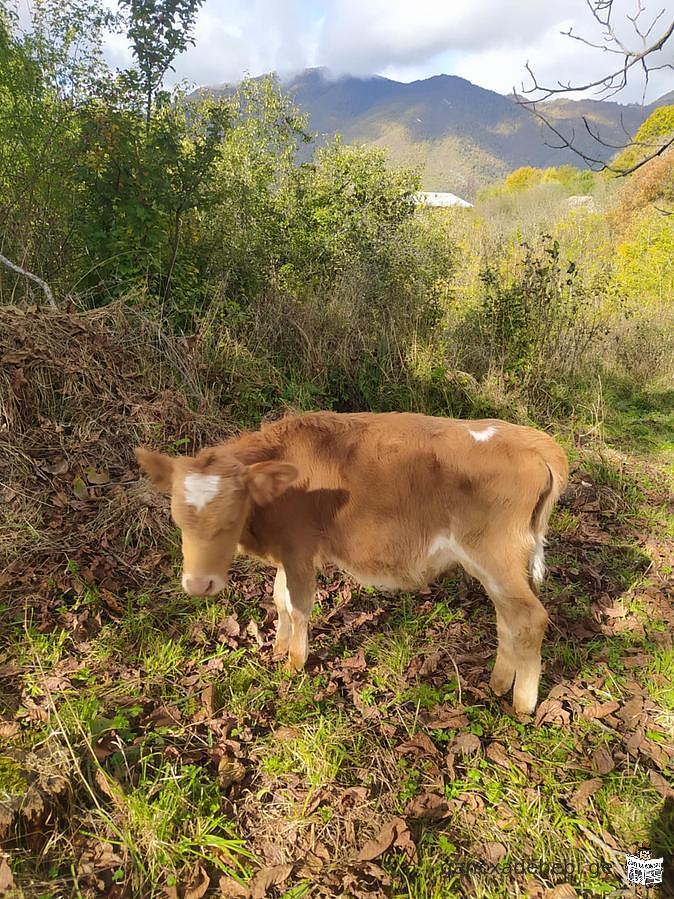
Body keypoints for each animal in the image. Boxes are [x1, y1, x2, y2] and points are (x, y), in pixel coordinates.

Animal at [136, 412, 568, 712]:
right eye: (177, 518)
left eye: (229, 518)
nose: (198, 584)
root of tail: (531, 439)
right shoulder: (287, 554)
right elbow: (279, 600)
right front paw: (278, 648)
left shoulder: (299, 550)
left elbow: (298, 607)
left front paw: (294, 663)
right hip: (501, 566)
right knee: (508, 619)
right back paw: (499, 683)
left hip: (496, 557)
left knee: (529, 618)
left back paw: (522, 704)